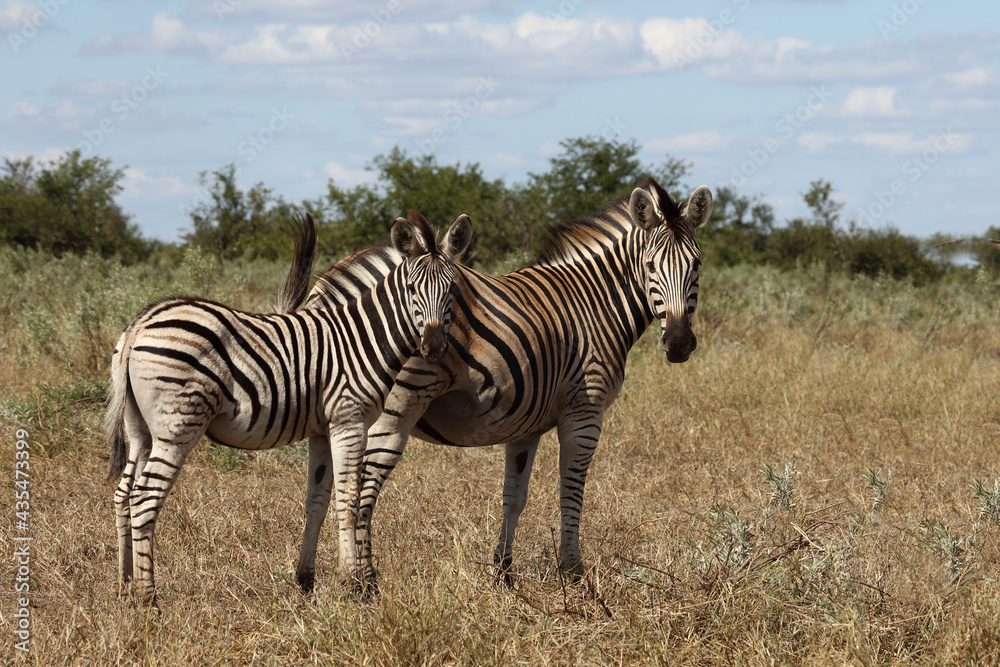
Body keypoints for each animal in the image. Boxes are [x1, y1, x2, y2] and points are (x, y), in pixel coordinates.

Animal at [106, 211, 472, 601]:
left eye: (452, 291)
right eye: (412, 289)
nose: (433, 347)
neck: (360, 337)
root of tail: (140, 323)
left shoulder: (322, 429)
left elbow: (318, 500)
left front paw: (306, 579)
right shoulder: (349, 420)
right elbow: (348, 499)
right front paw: (352, 583)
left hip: (140, 429)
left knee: (123, 495)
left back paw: (124, 585)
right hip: (177, 425)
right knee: (145, 498)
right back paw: (148, 597)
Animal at [290, 176, 713, 590]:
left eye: (697, 264)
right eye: (651, 266)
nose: (678, 343)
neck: (594, 304)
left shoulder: (525, 424)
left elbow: (514, 496)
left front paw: (503, 573)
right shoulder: (585, 412)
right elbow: (571, 491)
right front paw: (571, 570)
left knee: (322, 492)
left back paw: (308, 578)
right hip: (393, 410)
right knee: (361, 492)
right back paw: (364, 581)